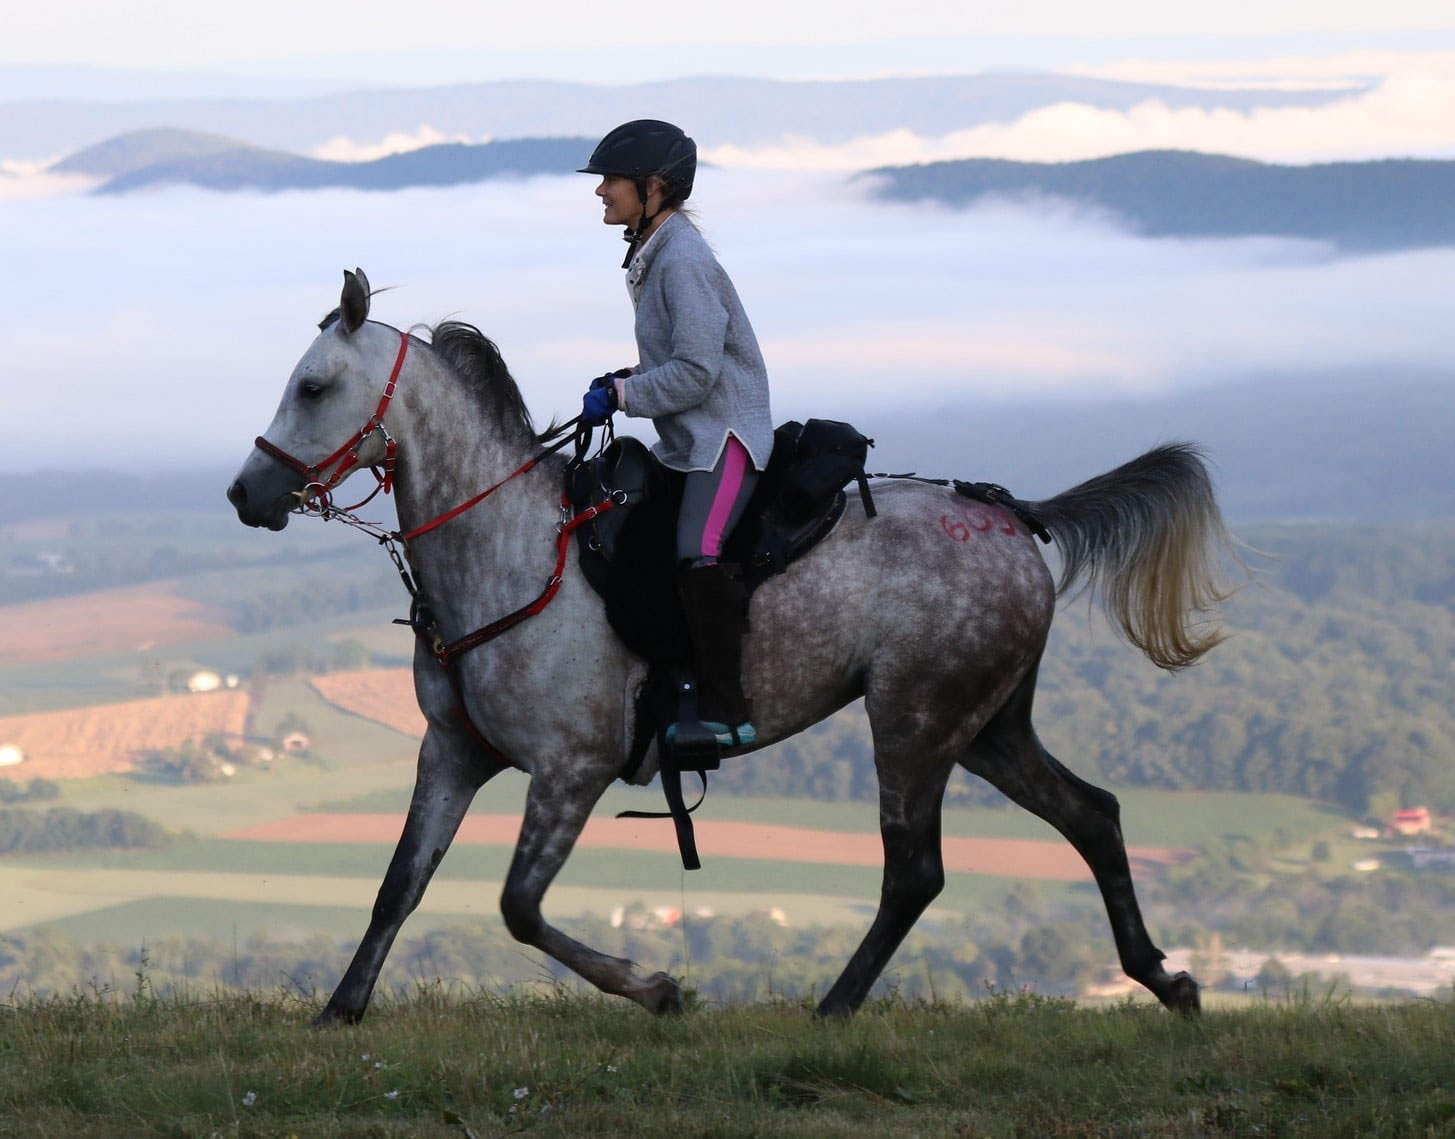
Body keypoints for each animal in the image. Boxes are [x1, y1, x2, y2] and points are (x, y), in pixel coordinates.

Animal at [226, 269, 1228, 1024]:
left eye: (313, 386)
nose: (244, 494)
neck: (507, 549)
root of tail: (1014, 518)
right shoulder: (453, 753)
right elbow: (399, 885)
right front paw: (340, 1010)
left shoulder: (571, 769)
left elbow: (518, 906)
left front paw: (656, 987)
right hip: (985, 726)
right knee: (1091, 814)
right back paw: (1165, 980)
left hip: (914, 720)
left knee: (915, 870)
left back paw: (834, 1006)